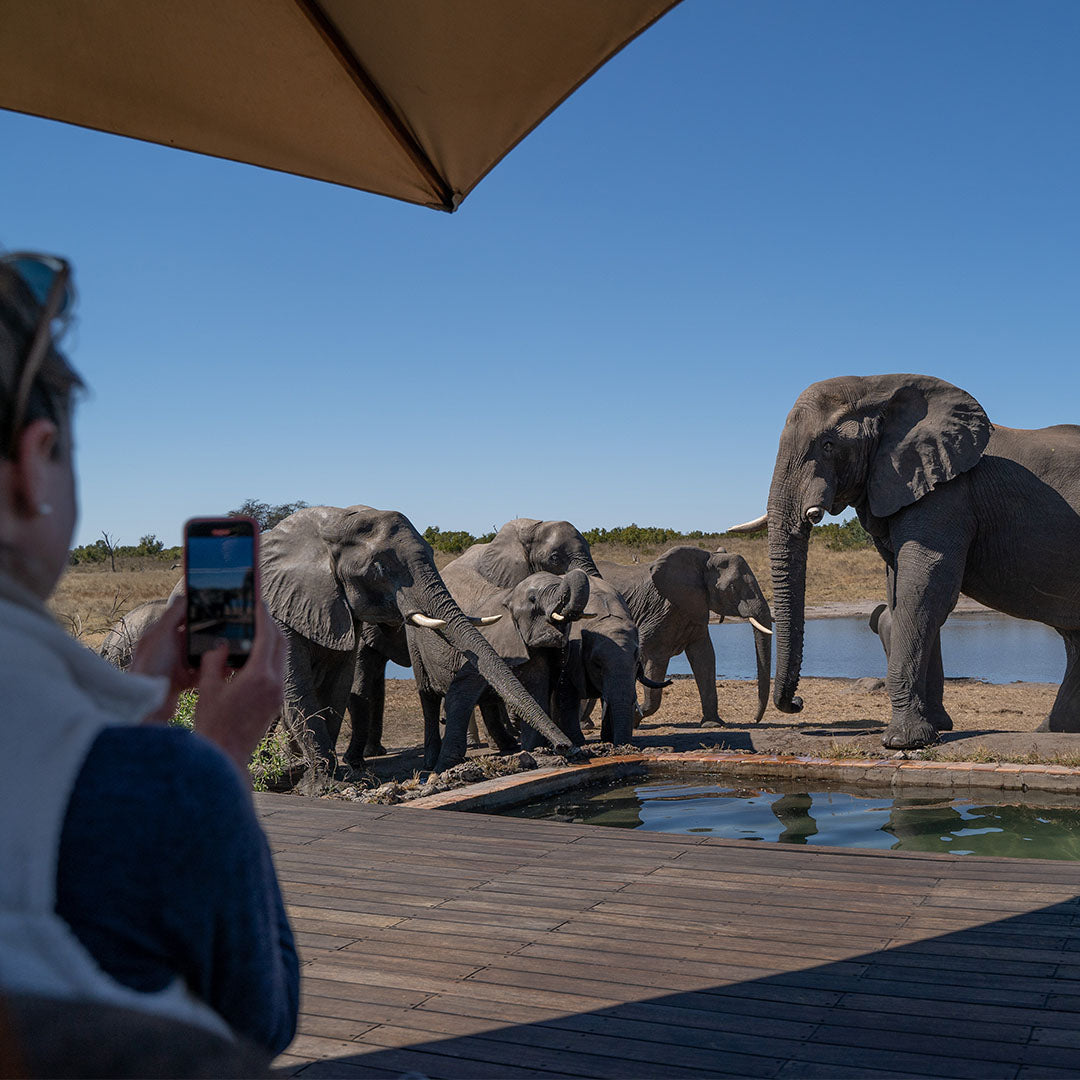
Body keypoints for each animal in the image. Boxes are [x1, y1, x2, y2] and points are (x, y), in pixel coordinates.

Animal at [256, 505, 572, 777]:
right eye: (379, 569)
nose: (566, 748)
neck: (331, 524)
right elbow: (302, 689)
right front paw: (329, 778)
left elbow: (337, 688)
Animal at [408, 567, 592, 772]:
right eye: (533, 599)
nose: (566, 747)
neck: (508, 595)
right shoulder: (488, 641)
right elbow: (461, 692)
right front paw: (444, 765)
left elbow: (535, 692)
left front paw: (533, 750)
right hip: (414, 644)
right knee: (429, 697)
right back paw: (431, 762)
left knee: (488, 702)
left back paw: (507, 745)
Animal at [599, 546, 773, 726]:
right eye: (732, 588)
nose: (755, 719)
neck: (706, 559)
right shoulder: (658, 612)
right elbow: (655, 660)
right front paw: (634, 717)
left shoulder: (695, 607)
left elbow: (705, 658)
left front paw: (713, 723)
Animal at [747, 373, 1080, 749]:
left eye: (829, 445)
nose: (798, 703)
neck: (878, 386)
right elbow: (902, 594)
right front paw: (933, 727)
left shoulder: (947, 495)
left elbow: (924, 591)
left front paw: (904, 741)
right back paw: (1053, 731)